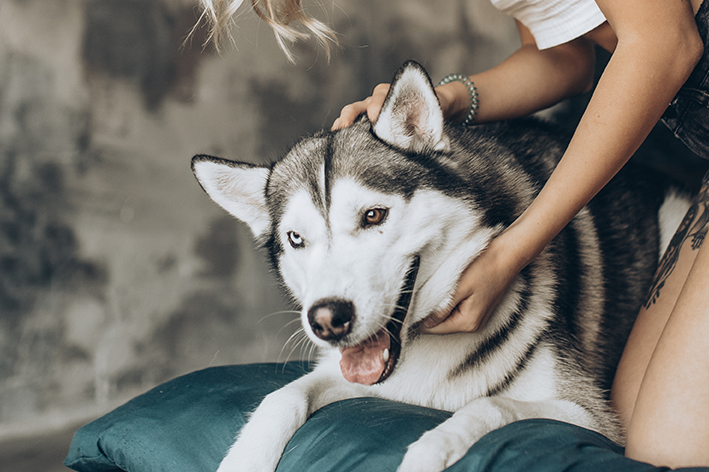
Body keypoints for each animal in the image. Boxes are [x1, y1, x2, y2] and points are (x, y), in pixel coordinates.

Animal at [191, 61, 676, 472]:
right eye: (296, 239)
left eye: (373, 215)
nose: (327, 320)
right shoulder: (349, 375)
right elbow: (281, 397)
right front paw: (246, 458)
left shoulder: (592, 417)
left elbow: (487, 404)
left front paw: (429, 452)